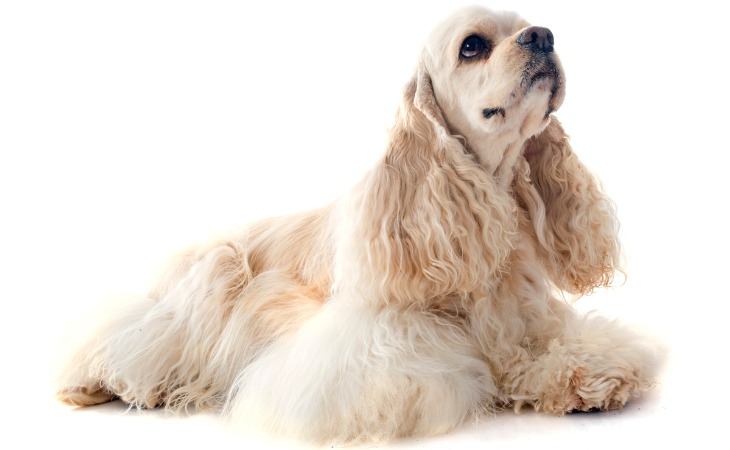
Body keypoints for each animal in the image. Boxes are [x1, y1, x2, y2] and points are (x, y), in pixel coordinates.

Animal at [57, 5, 656, 444]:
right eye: (472, 46)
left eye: (529, 25)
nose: (544, 35)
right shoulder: (367, 348)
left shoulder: (529, 318)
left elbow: (561, 347)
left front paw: (587, 375)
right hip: (214, 272)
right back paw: (114, 385)